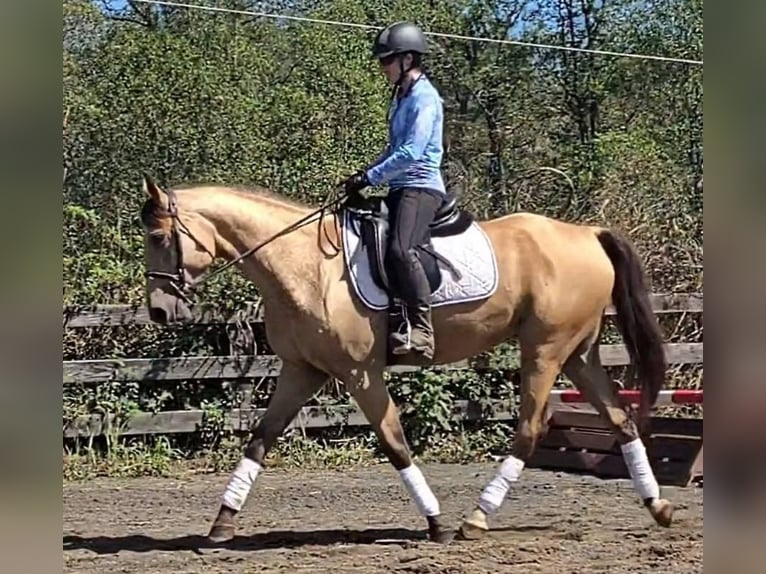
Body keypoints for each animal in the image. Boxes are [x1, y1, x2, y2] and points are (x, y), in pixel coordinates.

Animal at [138, 173, 674, 544]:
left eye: (159, 238)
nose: (159, 311)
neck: (304, 267)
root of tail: (587, 233)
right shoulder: (302, 370)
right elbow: (260, 440)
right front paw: (221, 524)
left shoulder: (359, 372)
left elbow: (394, 442)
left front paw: (435, 522)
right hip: (577, 353)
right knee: (620, 419)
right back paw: (658, 506)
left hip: (544, 350)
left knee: (531, 429)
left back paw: (475, 519)